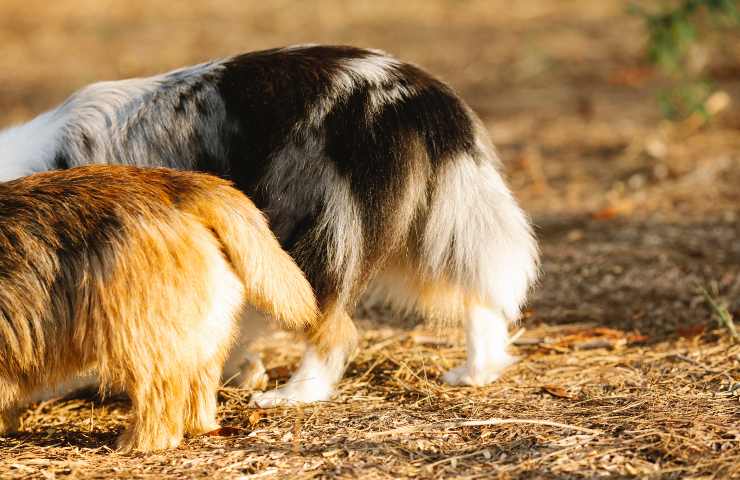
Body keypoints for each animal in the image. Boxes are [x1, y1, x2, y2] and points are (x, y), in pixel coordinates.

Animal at [0, 164, 316, 450]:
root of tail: (178, 184)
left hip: (140, 332)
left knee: (158, 394)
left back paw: (139, 442)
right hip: (204, 327)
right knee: (198, 381)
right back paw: (199, 425)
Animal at [2, 45, 540, 406]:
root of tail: (411, 93)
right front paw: (237, 369)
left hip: (311, 236)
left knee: (334, 329)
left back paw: (294, 395)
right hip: (436, 220)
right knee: (480, 295)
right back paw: (476, 372)